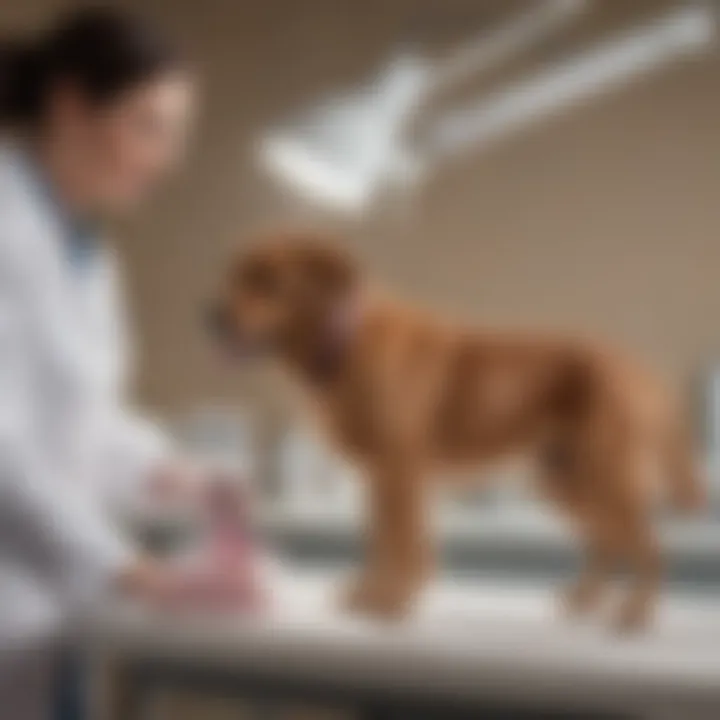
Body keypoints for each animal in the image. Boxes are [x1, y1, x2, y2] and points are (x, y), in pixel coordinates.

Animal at [207, 231, 704, 632]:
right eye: (233, 274)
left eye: (267, 278)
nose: (209, 314)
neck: (343, 341)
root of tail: (632, 363)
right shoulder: (379, 477)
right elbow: (380, 540)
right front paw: (369, 595)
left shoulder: (401, 470)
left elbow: (405, 545)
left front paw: (391, 603)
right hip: (565, 480)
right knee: (608, 543)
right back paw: (585, 602)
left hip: (601, 475)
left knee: (648, 546)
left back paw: (635, 616)